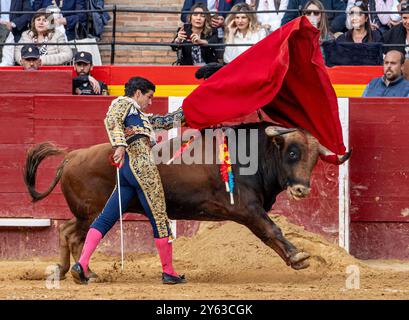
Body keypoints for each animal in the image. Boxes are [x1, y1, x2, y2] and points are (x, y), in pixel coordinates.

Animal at [22, 122, 350, 280]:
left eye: (314, 160)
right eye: (292, 153)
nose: (301, 190)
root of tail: (71, 156)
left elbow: (270, 233)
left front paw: (296, 258)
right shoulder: (246, 208)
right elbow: (272, 230)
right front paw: (298, 256)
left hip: (89, 212)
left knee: (67, 231)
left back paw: (71, 271)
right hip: (94, 212)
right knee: (76, 234)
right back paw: (82, 272)